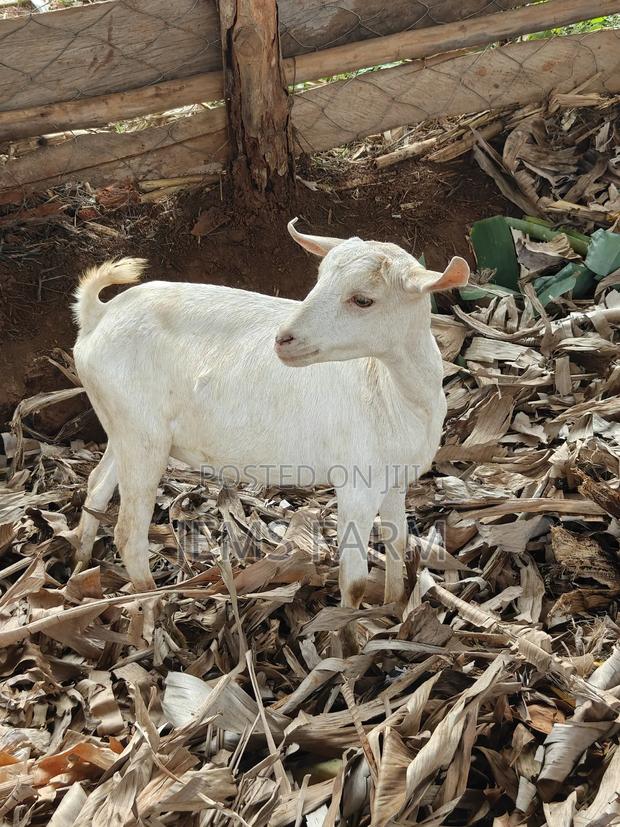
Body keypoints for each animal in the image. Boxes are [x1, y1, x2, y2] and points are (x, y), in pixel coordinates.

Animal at [72, 220, 469, 607]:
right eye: (318, 279)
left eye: (363, 300)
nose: (284, 339)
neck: (392, 392)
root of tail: (98, 316)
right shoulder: (356, 482)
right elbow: (354, 582)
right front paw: (348, 625)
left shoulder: (395, 479)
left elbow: (397, 543)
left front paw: (395, 607)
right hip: (141, 434)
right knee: (128, 533)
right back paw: (152, 607)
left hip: (124, 424)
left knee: (98, 484)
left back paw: (80, 569)